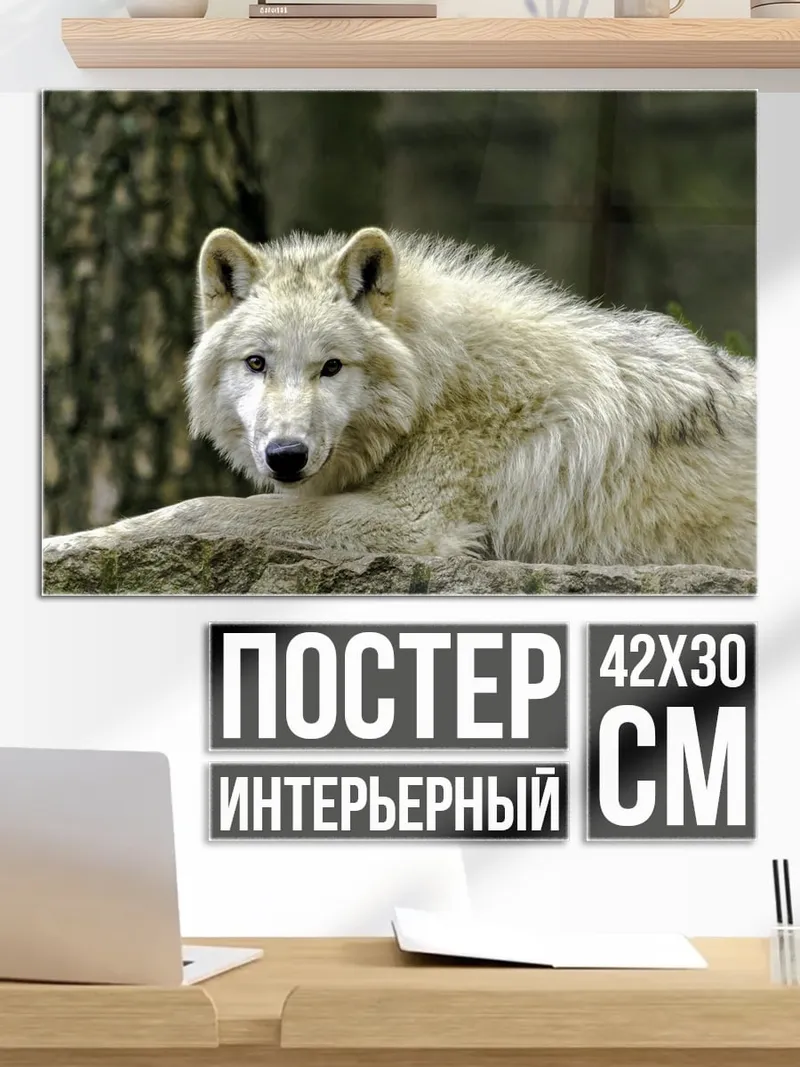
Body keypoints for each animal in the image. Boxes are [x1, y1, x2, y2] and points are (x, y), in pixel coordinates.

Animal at [43, 225, 756, 572]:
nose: (285, 456)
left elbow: (200, 510)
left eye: (331, 367)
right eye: (257, 363)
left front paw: (66, 545)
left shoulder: (410, 525)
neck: (431, 389)